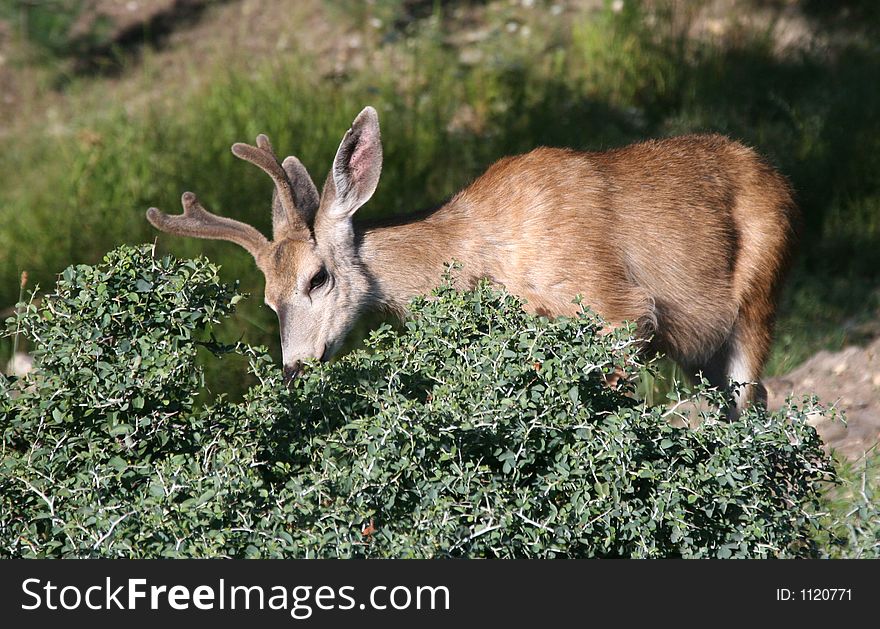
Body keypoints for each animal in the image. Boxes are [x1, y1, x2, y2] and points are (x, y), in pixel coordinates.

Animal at [150, 105, 796, 414]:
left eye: (317, 278)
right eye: (268, 300)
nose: (293, 368)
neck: (477, 253)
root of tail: (780, 179)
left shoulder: (619, 308)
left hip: (759, 295)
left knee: (756, 398)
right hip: (700, 352)